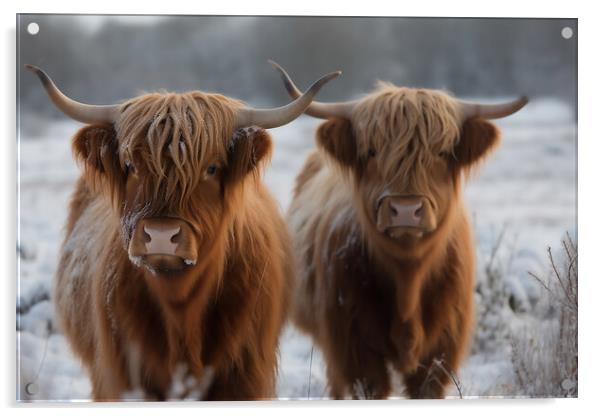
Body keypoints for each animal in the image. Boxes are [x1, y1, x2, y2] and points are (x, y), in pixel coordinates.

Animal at [25, 64, 338, 400]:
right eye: (129, 165)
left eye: (211, 168)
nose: (161, 236)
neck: (181, 309)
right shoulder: (122, 376)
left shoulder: (245, 375)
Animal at [272, 62, 524, 400]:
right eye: (371, 151)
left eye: (442, 152)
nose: (406, 210)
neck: (408, 281)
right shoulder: (351, 348)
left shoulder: (442, 350)